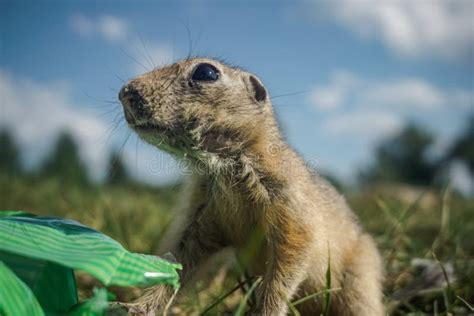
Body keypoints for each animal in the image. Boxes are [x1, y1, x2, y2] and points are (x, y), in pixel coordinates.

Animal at [119, 58, 386, 314]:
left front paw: (268, 310)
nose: (125, 91)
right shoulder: (198, 215)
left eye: (206, 72)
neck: (221, 168)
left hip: (360, 281)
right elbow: (177, 260)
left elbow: (290, 258)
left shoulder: (290, 201)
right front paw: (135, 307)